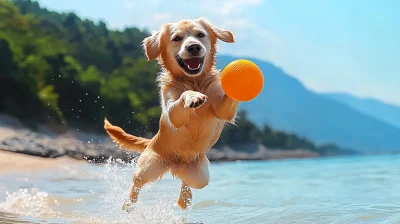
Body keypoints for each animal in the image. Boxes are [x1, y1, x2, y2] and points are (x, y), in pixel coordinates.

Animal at [104, 17, 239, 210]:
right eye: (176, 38)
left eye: (200, 34)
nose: (193, 47)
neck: (193, 80)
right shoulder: (172, 112)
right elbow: (182, 97)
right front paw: (192, 96)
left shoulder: (223, 110)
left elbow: (226, 103)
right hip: (148, 166)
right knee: (136, 183)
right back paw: (128, 203)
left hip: (200, 175)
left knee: (186, 181)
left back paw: (184, 199)